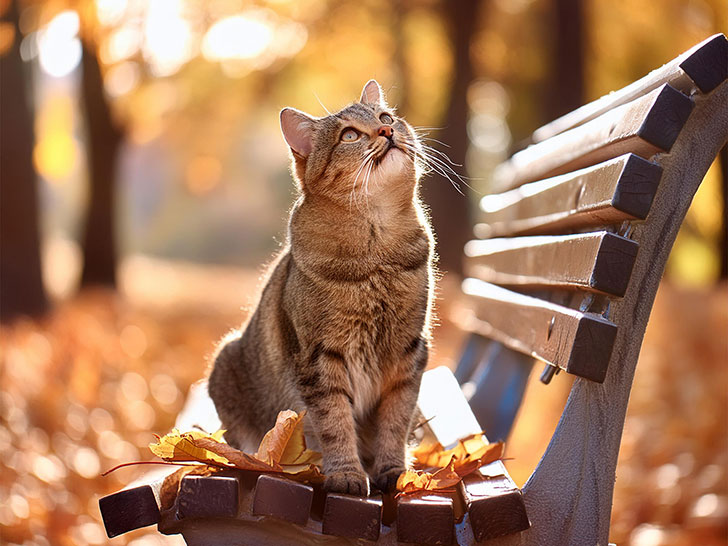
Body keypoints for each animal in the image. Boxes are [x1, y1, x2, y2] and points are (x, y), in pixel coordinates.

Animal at [210, 79, 436, 492]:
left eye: (386, 117)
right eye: (349, 135)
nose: (387, 132)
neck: (376, 253)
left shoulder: (408, 352)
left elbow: (395, 420)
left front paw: (394, 470)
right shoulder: (320, 358)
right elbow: (334, 422)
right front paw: (346, 473)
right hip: (226, 365)